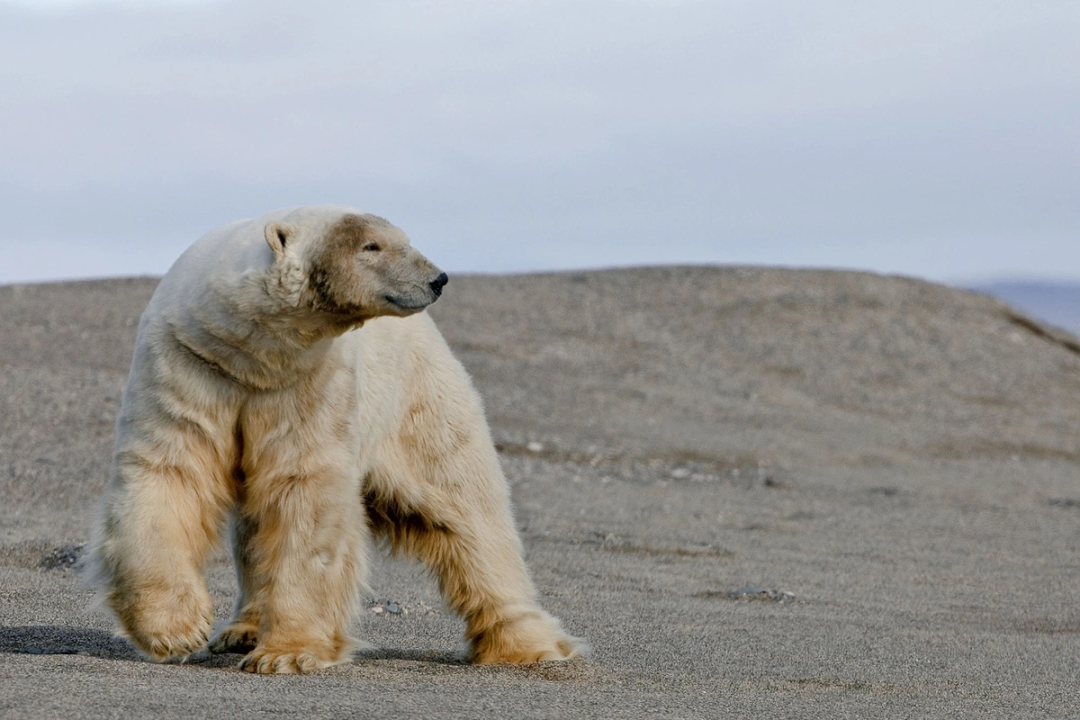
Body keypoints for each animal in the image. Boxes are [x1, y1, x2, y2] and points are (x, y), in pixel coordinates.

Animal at [86, 205, 583, 673]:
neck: (251, 355)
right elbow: (169, 472)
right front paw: (176, 630)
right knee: (253, 528)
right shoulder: (190, 365)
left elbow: (305, 493)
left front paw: (285, 654)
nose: (438, 278)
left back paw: (525, 644)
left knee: (468, 513)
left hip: (416, 404)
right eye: (371, 246)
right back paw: (242, 629)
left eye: (403, 239)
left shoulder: (313, 382)